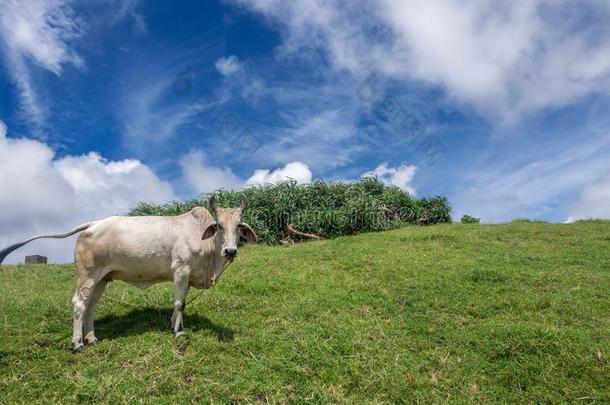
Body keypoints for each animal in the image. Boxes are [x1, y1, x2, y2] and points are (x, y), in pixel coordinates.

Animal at [0, 194, 255, 348]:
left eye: (239, 226)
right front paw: (177, 331)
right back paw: (78, 343)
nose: (230, 251)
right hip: (87, 276)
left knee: (91, 306)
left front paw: (173, 324)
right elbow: (179, 303)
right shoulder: (181, 270)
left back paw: (92, 338)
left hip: (101, 279)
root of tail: (93, 224)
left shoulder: (185, 277)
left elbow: (181, 302)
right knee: (79, 304)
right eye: (219, 226)